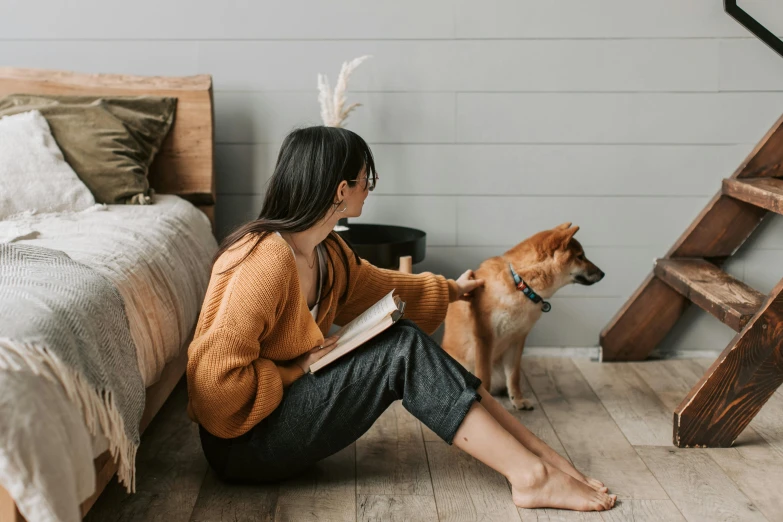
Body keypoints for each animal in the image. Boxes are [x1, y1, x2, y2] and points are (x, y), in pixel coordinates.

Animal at [440, 221, 608, 408]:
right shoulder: (484, 338)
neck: (520, 283)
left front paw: (518, 400)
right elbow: (484, 376)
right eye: (580, 256)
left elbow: (514, 376)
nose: (603, 273)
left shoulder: (517, 339)